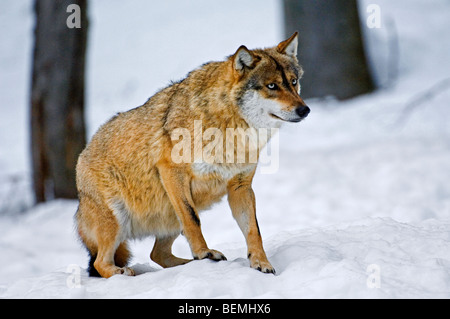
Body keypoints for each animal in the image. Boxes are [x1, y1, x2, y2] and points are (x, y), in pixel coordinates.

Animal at [76, 31, 310, 278]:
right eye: (272, 86)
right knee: (100, 263)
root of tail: (83, 154)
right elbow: (193, 219)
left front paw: (261, 263)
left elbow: (254, 230)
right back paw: (123, 272)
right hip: (120, 219)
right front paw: (202, 252)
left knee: (157, 254)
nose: (305, 110)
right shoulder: (172, 171)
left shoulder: (241, 187)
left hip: (169, 213)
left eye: (293, 82)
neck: (229, 128)